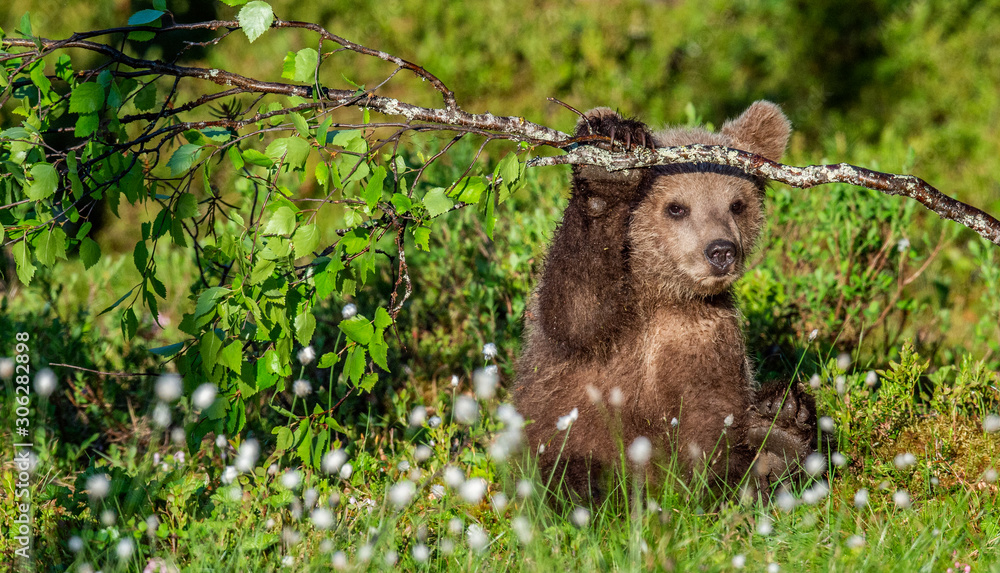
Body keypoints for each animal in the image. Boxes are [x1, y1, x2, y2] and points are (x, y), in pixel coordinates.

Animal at [513, 101, 817, 501]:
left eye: (737, 204)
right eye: (676, 207)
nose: (721, 251)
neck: (661, 296)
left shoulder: (702, 337)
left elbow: (710, 427)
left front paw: (776, 437)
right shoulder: (589, 345)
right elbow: (577, 306)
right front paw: (610, 154)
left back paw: (780, 431)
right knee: (570, 475)